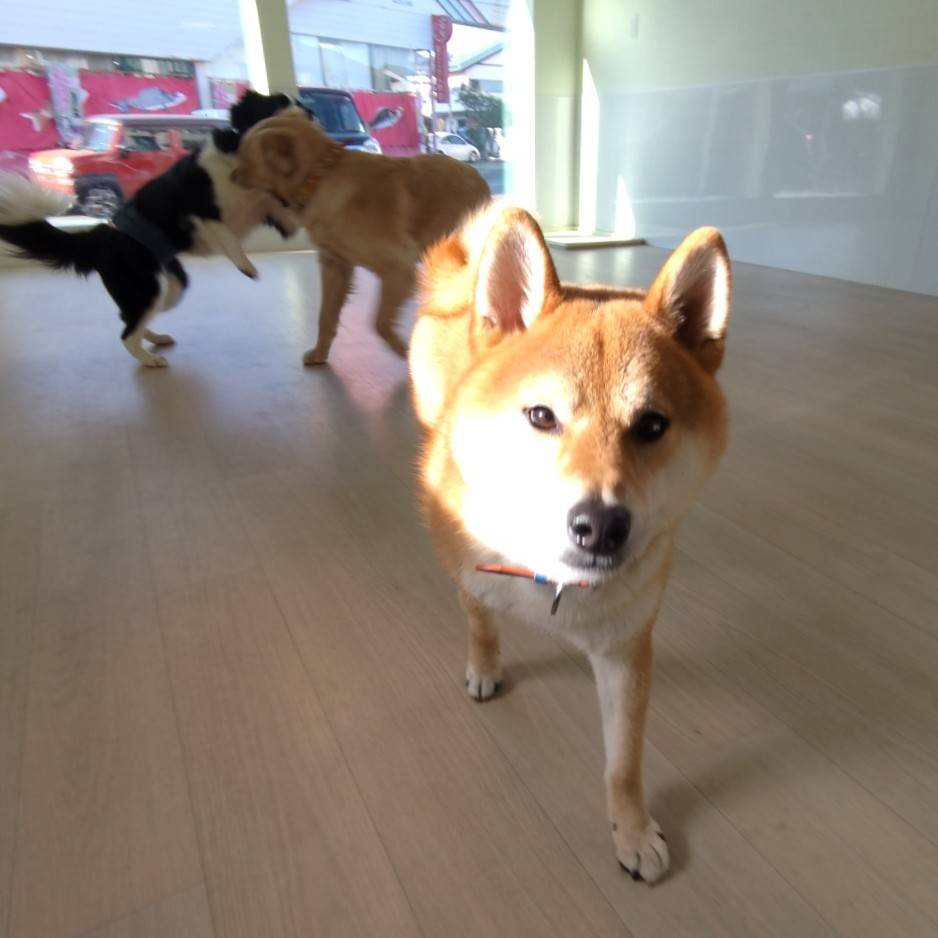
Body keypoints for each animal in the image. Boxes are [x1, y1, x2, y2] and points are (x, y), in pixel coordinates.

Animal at [0, 91, 302, 367]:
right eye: (278, 105)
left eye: (298, 104)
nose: (307, 111)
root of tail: (102, 237)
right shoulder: (198, 212)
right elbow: (227, 235)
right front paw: (247, 267)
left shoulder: (266, 205)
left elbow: (284, 214)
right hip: (145, 286)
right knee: (126, 333)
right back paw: (149, 359)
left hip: (168, 286)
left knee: (130, 317)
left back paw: (155, 339)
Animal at [234, 109, 490, 364]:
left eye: (245, 157)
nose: (231, 175)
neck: (320, 176)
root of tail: (479, 177)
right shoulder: (335, 266)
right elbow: (326, 316)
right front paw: (319, 353)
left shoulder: (398, 267)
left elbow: (379, 323)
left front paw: (405, 352)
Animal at [409, 204, 732, 884]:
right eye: (541, 416)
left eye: (652, 425)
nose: (602, 525)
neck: (547, 575)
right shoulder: (467, 571)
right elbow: (479, 622)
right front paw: (485, 666)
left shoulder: (627, 653)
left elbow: (624, 764)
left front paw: (631, 831)